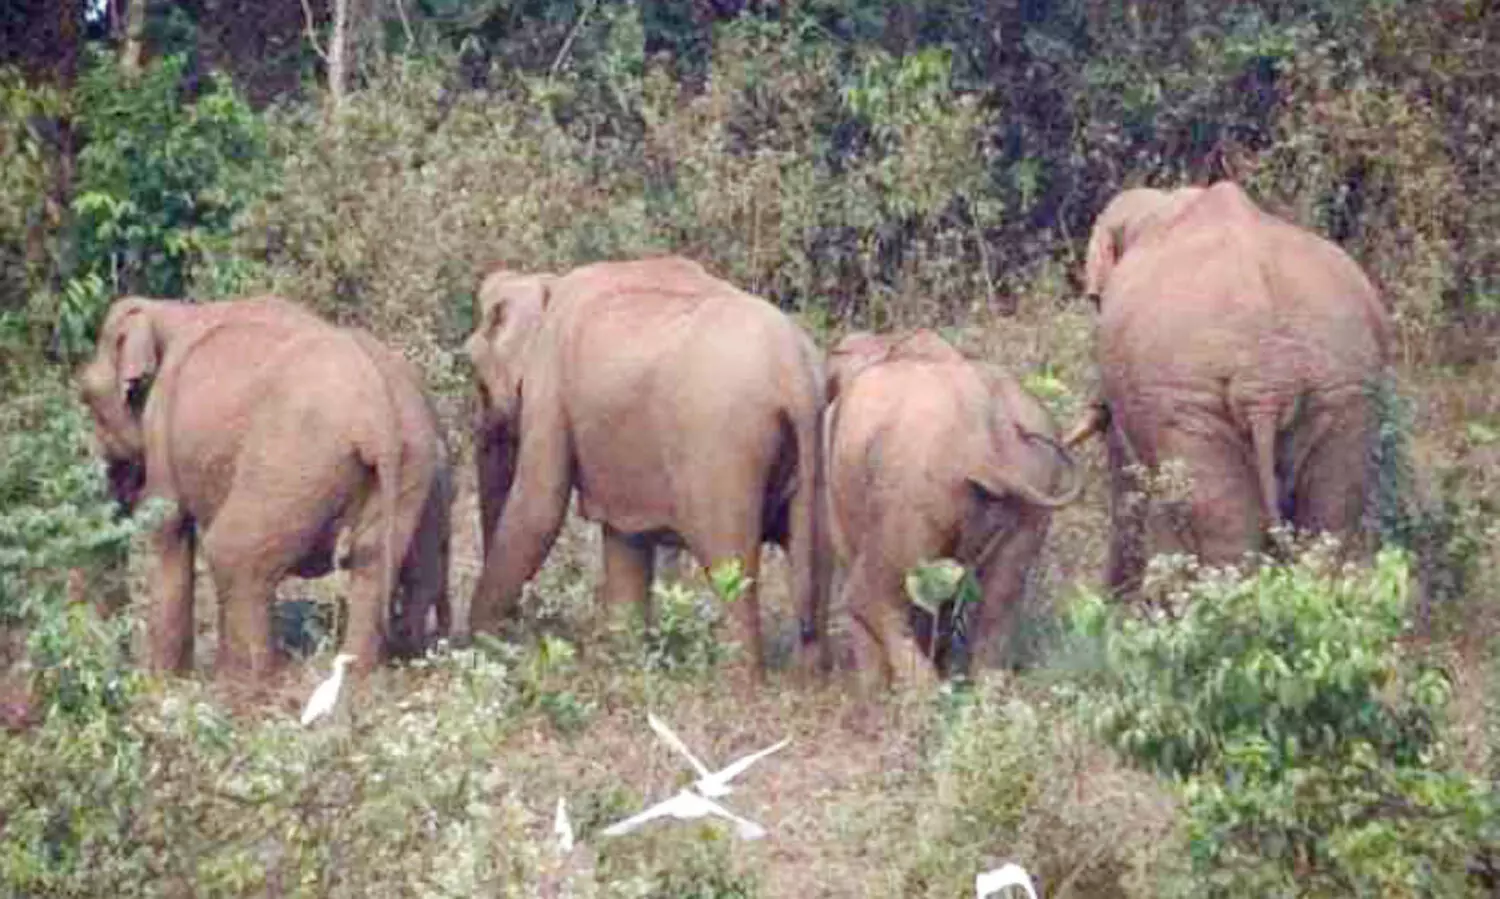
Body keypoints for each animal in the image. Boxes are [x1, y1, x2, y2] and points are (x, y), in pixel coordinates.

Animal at [77, 295, 451, 680]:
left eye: (85, 396)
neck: (168, 309)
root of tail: (378, 413)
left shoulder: (161, 425)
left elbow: (167, 531)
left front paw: (165, 682)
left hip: (292, 458)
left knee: (233, 553)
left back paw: (239, 685)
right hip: (410, 461)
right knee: (372, 563)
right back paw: (357, 676)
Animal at [465, 255, 831, 678]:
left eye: (479, 383)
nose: (518, 629)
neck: (546, 284)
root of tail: (798, 378)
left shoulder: (549, 383)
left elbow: (538, 509)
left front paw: (478, 646)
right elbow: (625, 541)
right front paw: (623, 664)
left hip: (723, 454)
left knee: (731, 566)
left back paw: (740, 683)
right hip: (818, 451)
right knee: (815, 569)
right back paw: (808, 680)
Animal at [824, 329, 1082, 688]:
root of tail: (983, 447)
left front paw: (873, 689)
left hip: (912, 491)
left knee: (870, 592)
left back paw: (925, 689)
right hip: (1035, 486)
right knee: (1001, 595)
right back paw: (986, 685)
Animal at [1064, 181, 1393, 594]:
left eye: (1096, 302)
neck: (1167, 204)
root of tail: (1267, 377)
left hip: (1189, 400)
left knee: (1228, 535)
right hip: (1343, 389)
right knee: (1329, 520)